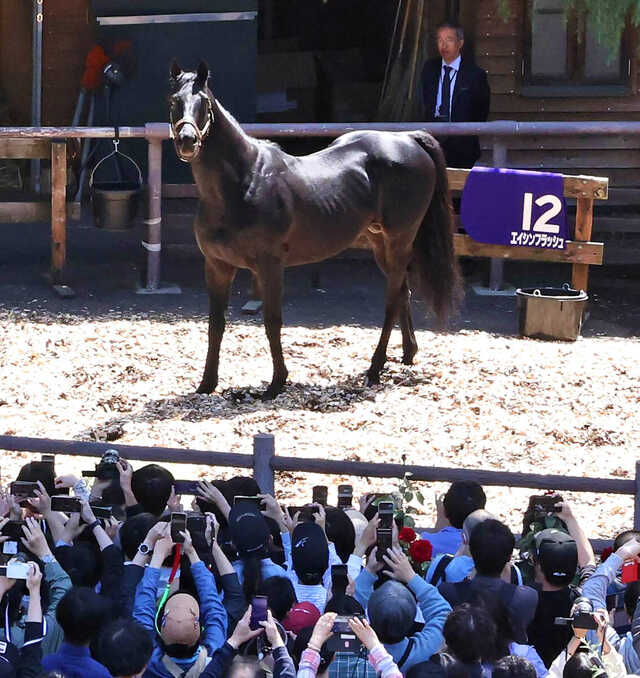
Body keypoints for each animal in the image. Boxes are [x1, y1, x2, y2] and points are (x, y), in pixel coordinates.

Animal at [169, 60, 462, 400]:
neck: (244, 182)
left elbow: (272, 321)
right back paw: (406, 355)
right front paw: (207, 384)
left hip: (399, 241)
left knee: (391, 300)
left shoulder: (270, 266)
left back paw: (374, 369)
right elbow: (215, 325)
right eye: (174, 101)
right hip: (380, 244)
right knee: (402, 292)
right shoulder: (217, 265)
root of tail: (409, 139)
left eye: (204, 103)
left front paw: (276, 383)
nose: (187, 140)